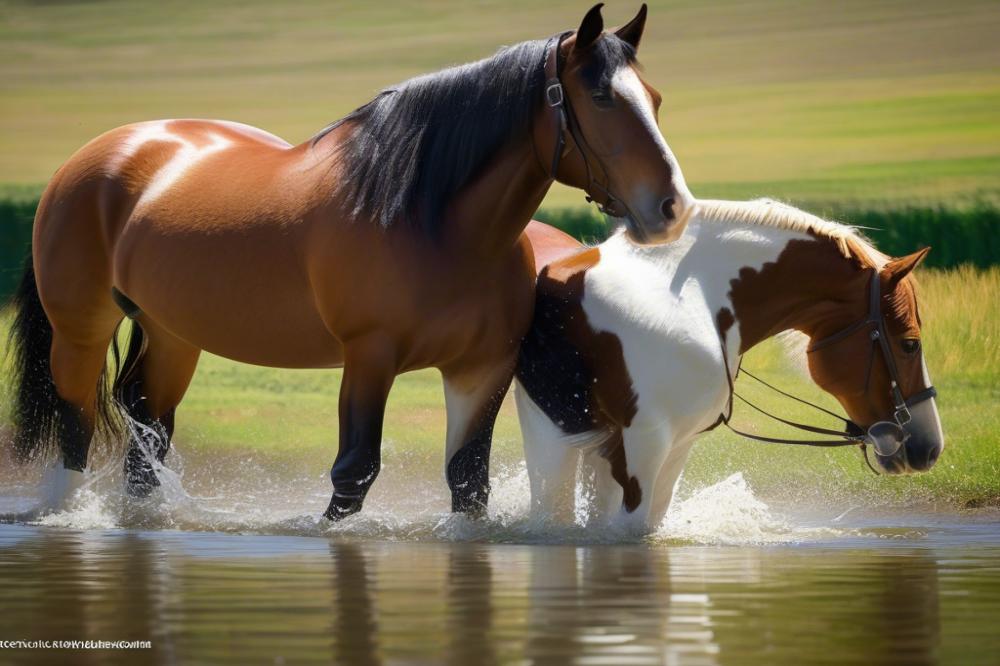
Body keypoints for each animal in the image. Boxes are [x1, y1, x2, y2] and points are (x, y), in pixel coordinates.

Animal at [5, 3, 696, 520]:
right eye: (601, 97)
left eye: (656, 97)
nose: (671, 207)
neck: (429, 219)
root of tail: (94, 157)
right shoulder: (369, 359)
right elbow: (353, 476)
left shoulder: (481, 369)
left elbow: (467, 481)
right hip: (80, 334)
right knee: (75, 430)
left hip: (174, 337)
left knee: (147, 430)